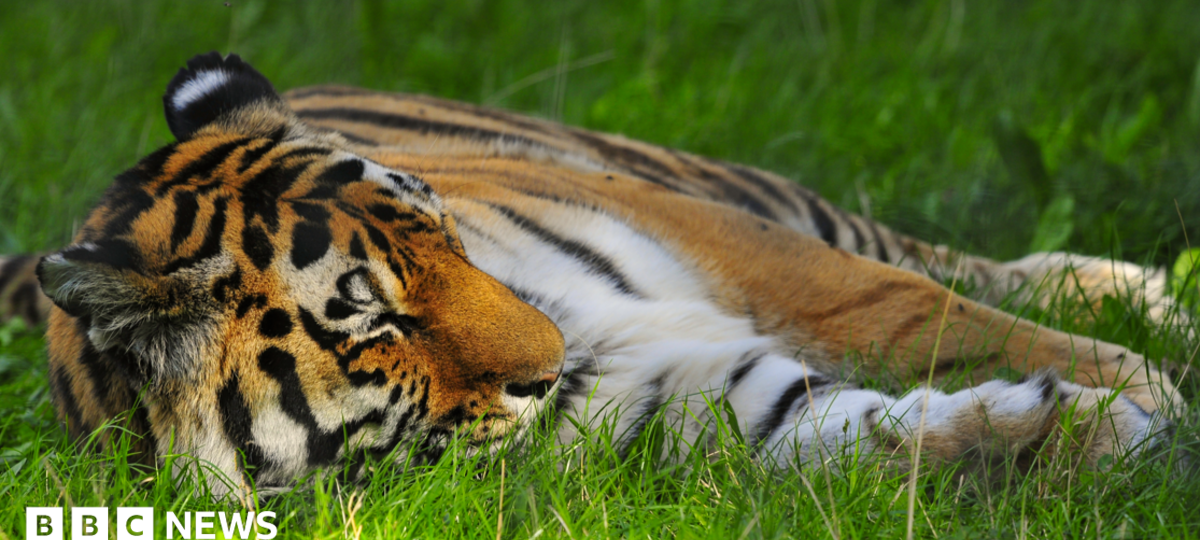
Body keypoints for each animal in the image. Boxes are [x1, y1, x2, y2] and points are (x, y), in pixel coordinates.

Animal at [0, 52, 1187, 496]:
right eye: (373, 322)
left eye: (448, 241)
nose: (552, 359)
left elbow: (905, 310)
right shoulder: (700, 405)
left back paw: (1148, 295)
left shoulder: (731, 242)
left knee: (933, 257)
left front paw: (1139, 390)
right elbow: (867, 434)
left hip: (723, 186)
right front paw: (1099, 429)